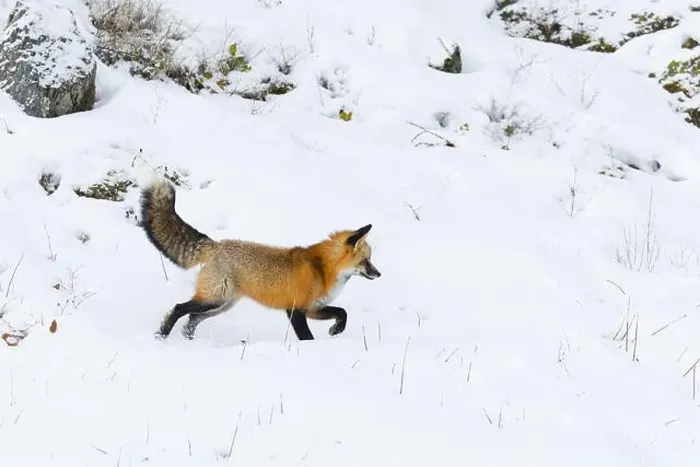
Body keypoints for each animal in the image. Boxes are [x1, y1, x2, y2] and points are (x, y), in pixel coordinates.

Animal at [139, 178, 381, 341]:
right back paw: (161, 335)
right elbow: (308, 337)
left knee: (192, 318)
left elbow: (343, 312)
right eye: (366, 261)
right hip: (214, 299)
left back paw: (188, 340)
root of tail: (215, 244)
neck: (323, 269)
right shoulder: (296, 310)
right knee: (180, 308)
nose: (379, 274)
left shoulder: (313, 308)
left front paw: (336, 330)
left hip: (222, 304)